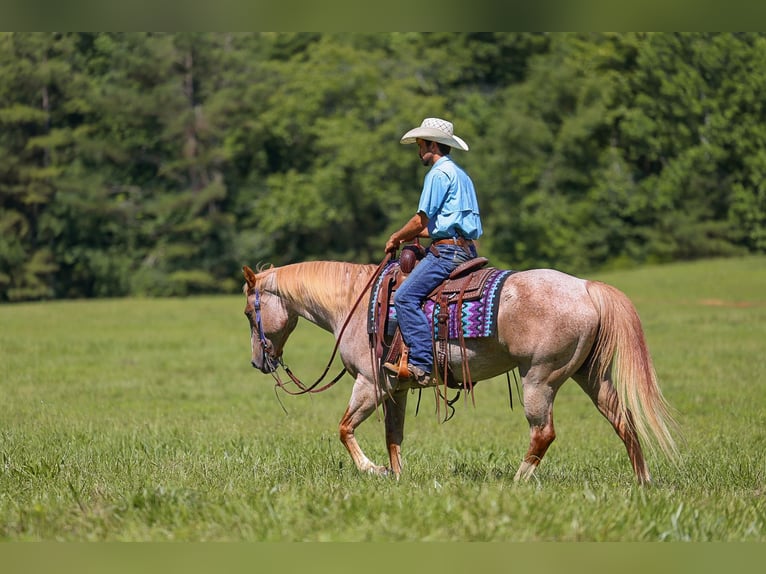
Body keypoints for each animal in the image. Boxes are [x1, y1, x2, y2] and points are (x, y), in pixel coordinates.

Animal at [242, 260, 678, 484]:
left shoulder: (371, 383)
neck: (356, 302)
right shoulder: (396, 388)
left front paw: (374, 470)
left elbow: (345, 428)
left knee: (544, 433)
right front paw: (398, 477)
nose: (258, 363)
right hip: (590, 375)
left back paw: (517, 482)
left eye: (248, 312)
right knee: (623, 421)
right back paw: (643, 481)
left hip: (540, 378)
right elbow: (393, 436)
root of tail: (586, 287)